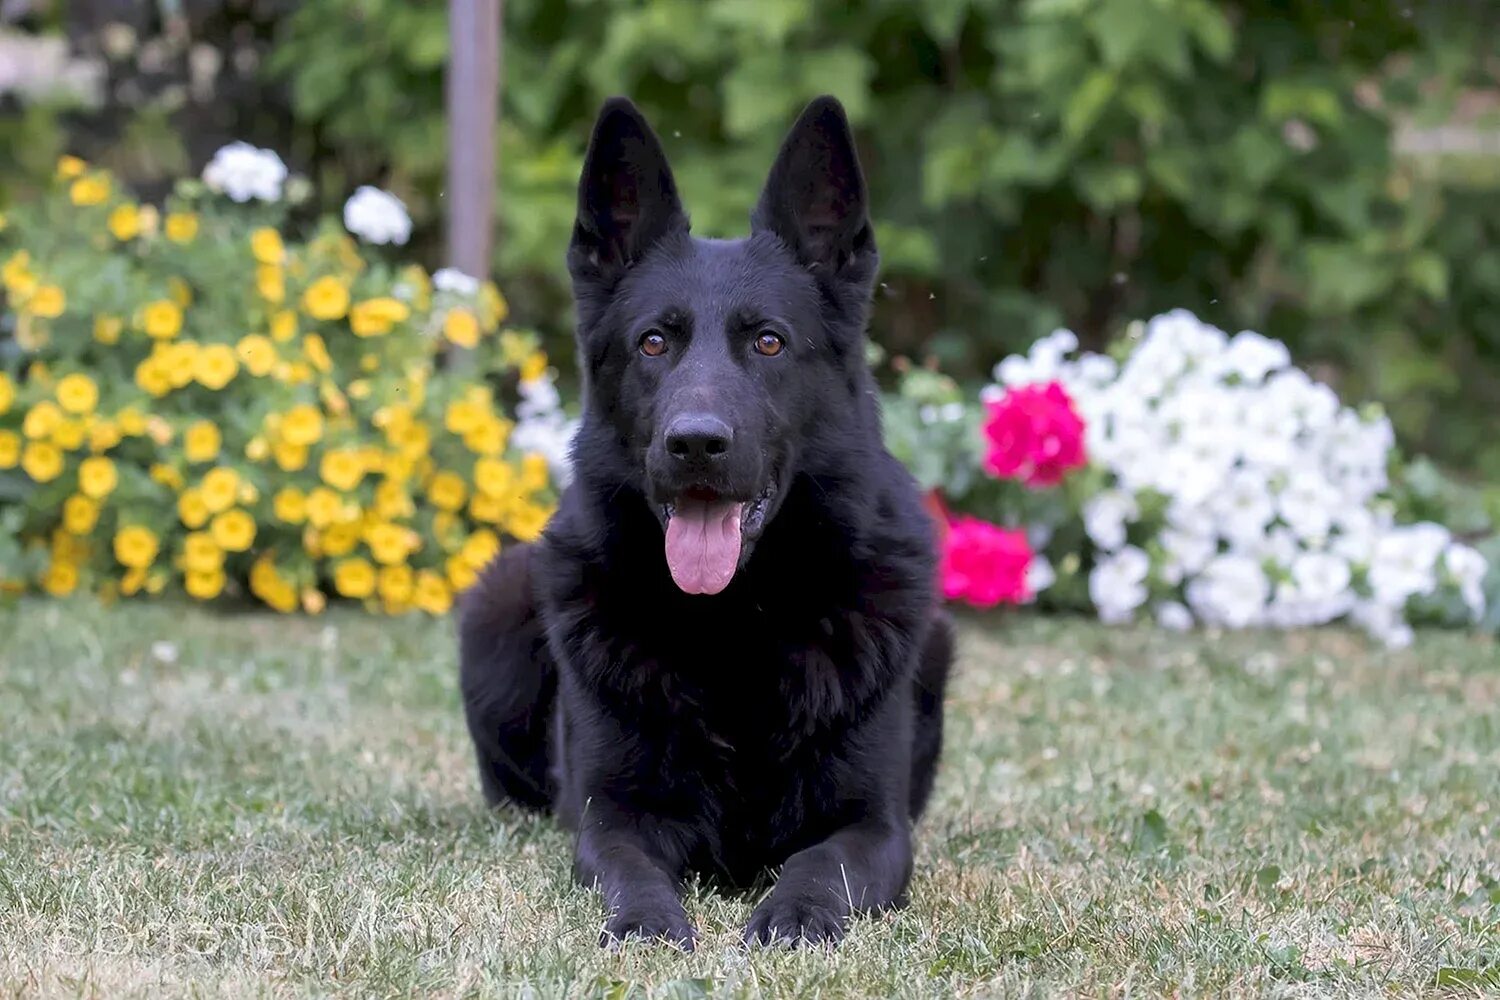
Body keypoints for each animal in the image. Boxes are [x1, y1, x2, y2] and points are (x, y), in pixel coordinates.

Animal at [456, 93, 954, 947]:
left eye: (769, 342)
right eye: (654, 342)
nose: (694, 443)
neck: (737, 623)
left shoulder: (875, 827)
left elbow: (822, 864)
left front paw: (795, 915)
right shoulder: (612, 818)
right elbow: (630, 871)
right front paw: (648, 922)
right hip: (498, 601)